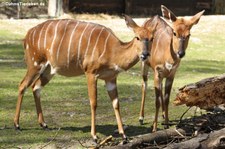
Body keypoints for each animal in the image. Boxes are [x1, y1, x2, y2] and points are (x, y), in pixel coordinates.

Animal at [13, 14, 156, 140]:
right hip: (35, 63)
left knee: (36, 86)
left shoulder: (110, 78)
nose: (145, 54)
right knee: (22, 85)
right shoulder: (90, 72)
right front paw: (94, 136)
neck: (113, 52)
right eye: (137, 37)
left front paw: (124, 135)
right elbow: (94, 103)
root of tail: (27, 35)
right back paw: (17, 125)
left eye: (152, 38)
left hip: (50, 69)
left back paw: (43, 124)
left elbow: (116, 103)